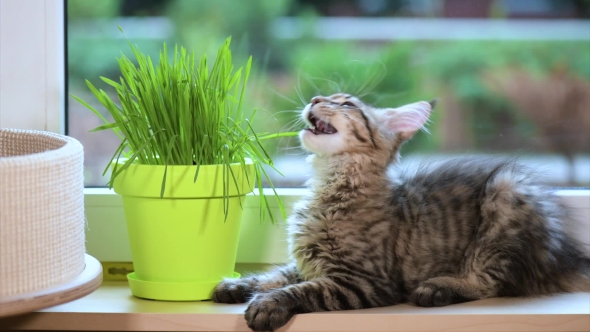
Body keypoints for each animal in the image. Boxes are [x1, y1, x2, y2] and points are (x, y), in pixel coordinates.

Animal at [214, 92, 590, 330]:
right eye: (323, 98)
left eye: (346, 104)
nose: (314, 100)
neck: (330, 186)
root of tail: (565, 253)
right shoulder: (308, 263)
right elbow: (274, 275)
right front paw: (236, 285)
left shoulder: (363, 281)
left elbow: (300, 289)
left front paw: (266, 305)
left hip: (505, 194)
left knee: (489, 283)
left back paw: (437, 288)